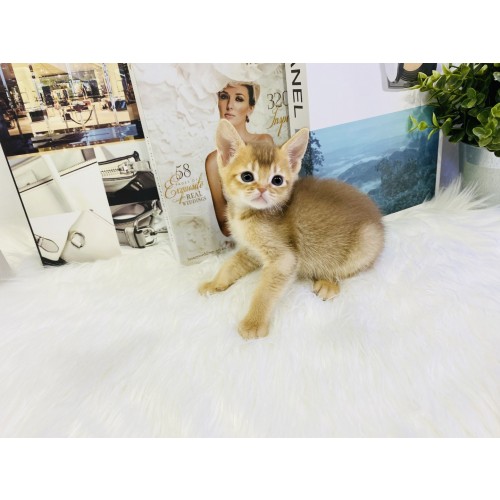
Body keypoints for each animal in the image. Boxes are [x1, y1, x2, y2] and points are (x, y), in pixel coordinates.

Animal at [199, 119, 385, 339]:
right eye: (247, 176)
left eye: (277, 180)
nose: (262, 189)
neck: (247, 215)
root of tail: (376, 216)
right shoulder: (250, 250)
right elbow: (230, 265)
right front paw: (213, 284)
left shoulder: (283, 259)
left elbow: (265, 291)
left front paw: (254, 322)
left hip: (366, 242)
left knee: (344, 269)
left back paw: (328, 283)